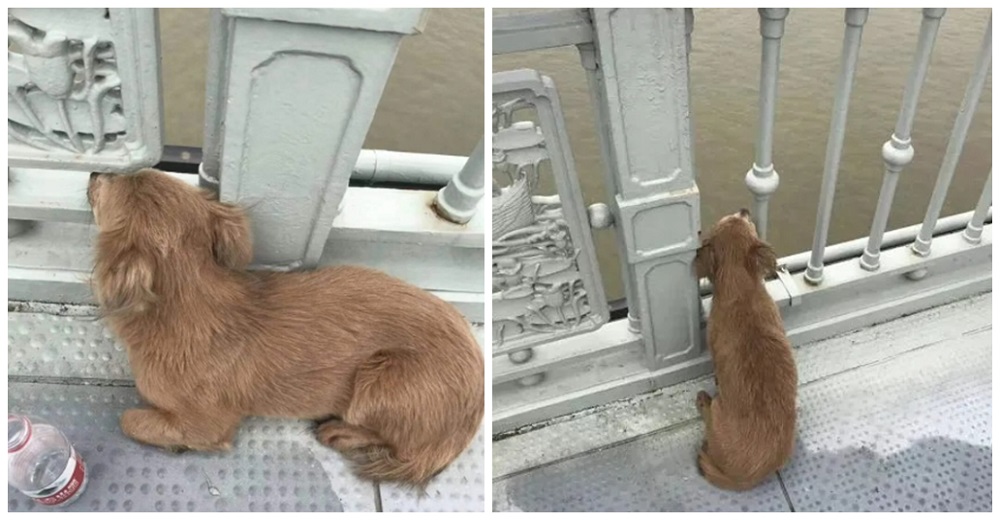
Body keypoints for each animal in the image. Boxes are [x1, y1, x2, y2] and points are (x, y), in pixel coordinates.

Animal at [86, 168, 484, 488]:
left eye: (108, 187)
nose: (94, 172)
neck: (191, 301)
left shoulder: (206, 424)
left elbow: (129, 419)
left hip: (380, 381)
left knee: (398, 446)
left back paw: (340, 432)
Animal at [696, 209, 796, 490]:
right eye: (745, 221)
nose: (744, 209)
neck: (740, 287)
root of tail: (746, 478)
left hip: (718, 413)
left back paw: (703, 401)